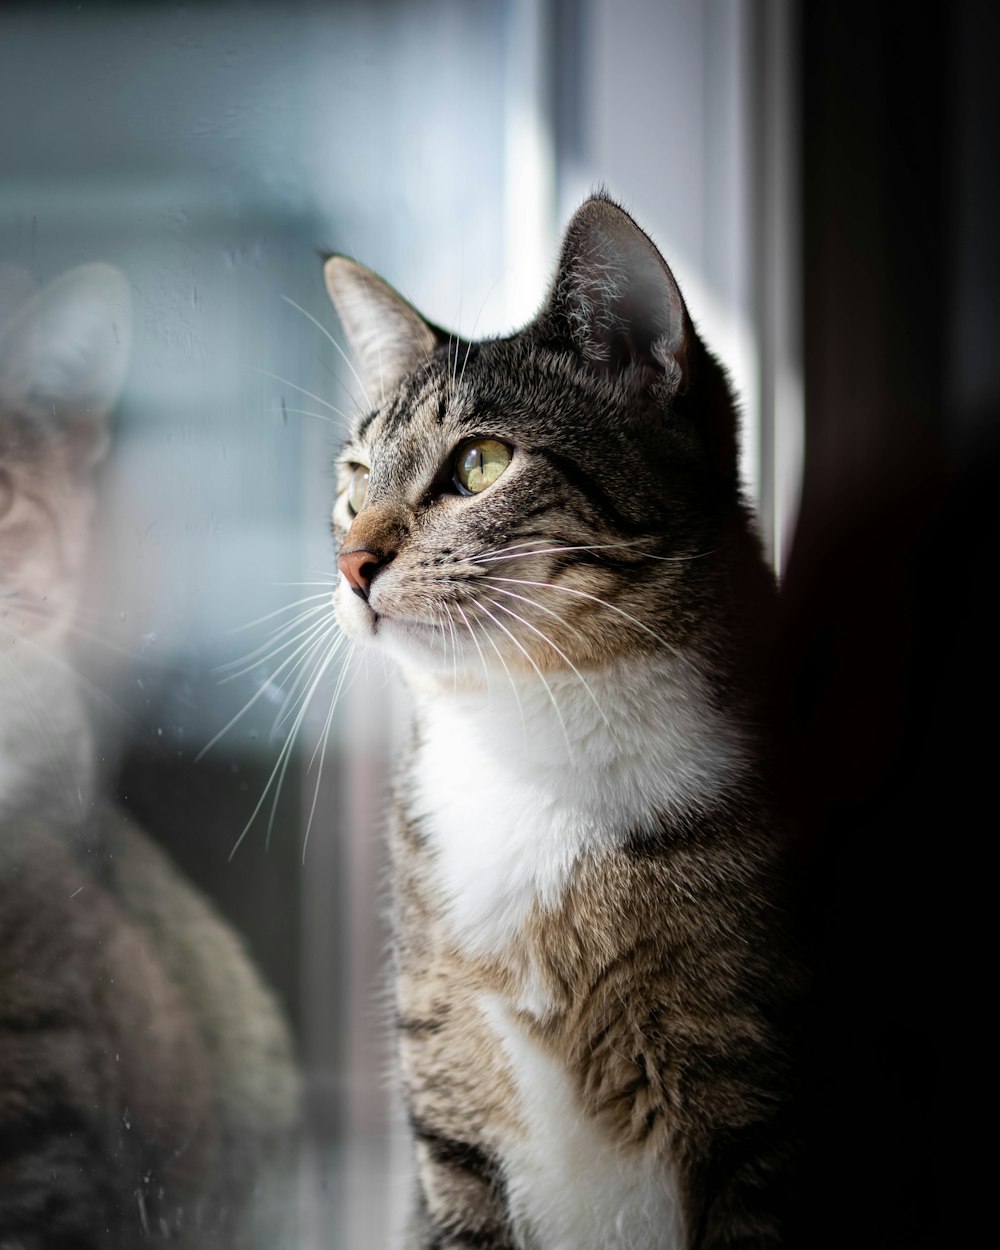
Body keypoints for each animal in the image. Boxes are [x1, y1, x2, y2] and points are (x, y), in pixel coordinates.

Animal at [325, 197, 795, 1250]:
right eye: (355, 477)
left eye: (481, 463)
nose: (351, 562)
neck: (531, 740)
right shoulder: (451, 1126)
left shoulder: (757, 1119)